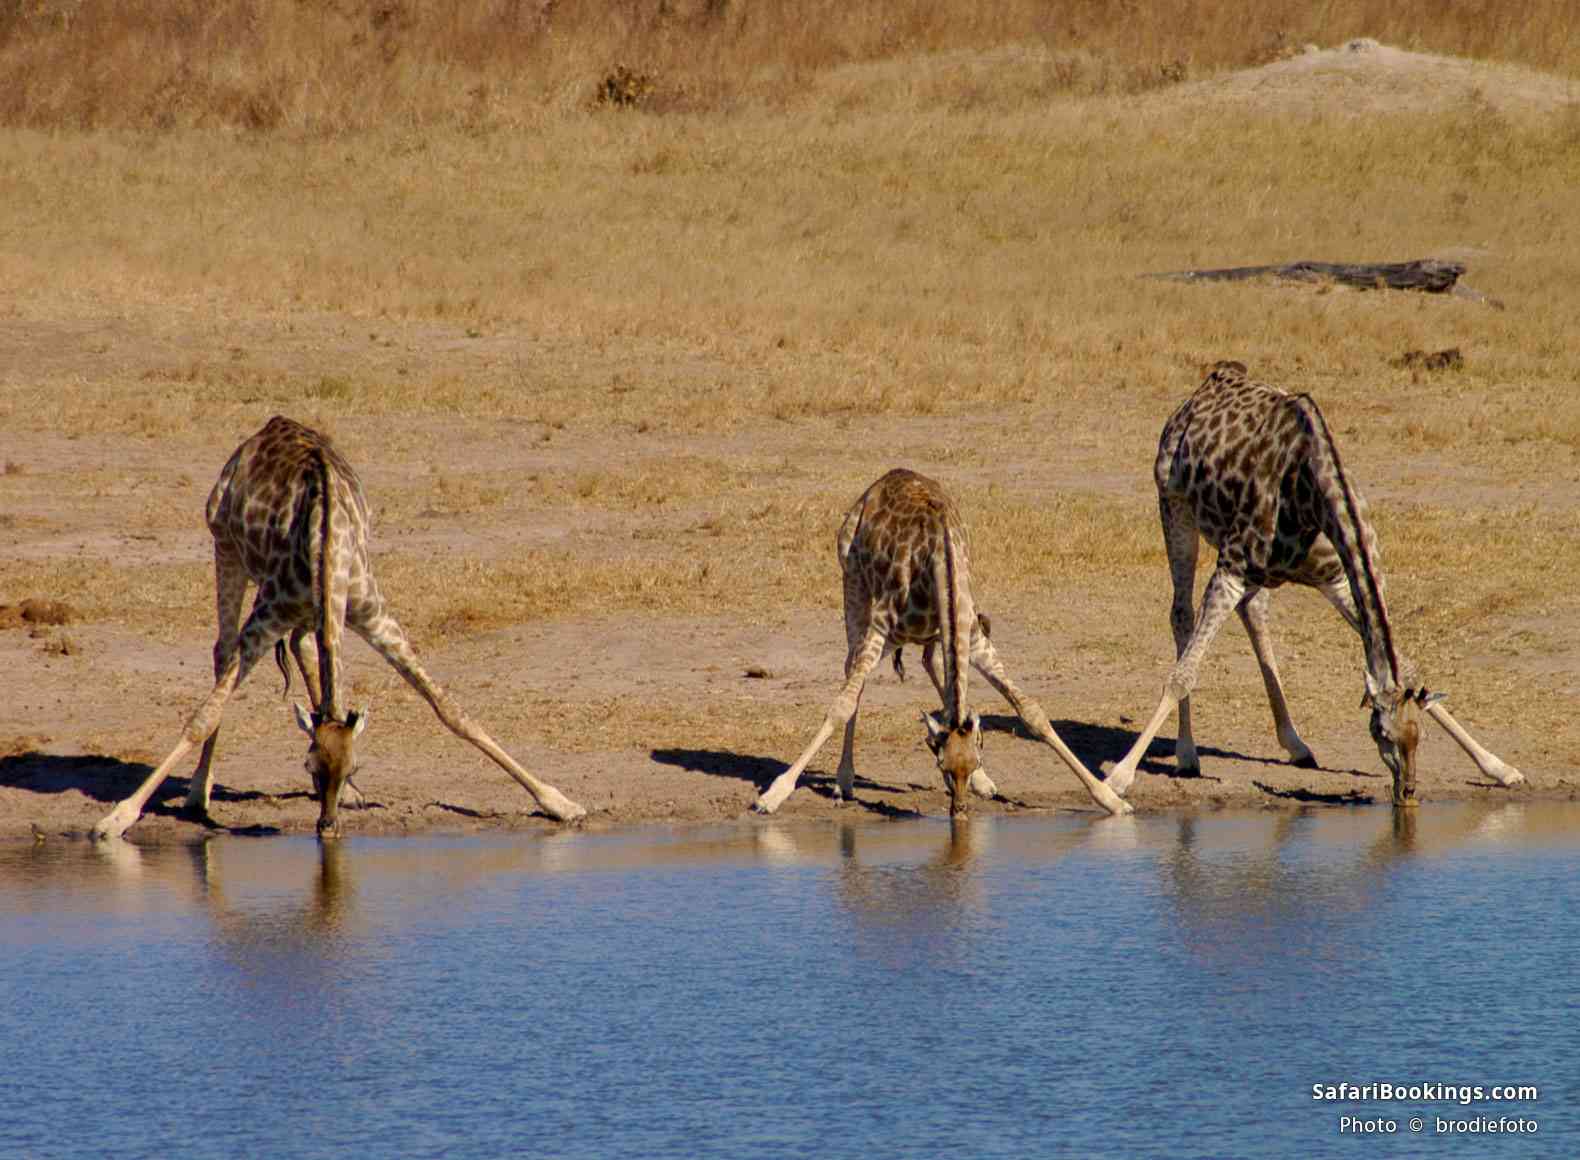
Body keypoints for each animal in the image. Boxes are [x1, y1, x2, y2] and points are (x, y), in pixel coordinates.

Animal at [91, 416, 586, 840]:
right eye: (308, 767)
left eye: (354, 769)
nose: (327, 827)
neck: (325, 539)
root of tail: (268, 426)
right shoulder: (267, 617)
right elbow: (203, 715)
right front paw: (117, 818)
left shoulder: (373, 615)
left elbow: (448, 707)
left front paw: (558, 802)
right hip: (225, 548)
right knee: (222, 650)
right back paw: (198, 791)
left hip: (306, 609)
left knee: (304, 649)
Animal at [753, 469, 1132, 817]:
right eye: (942, 767)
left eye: (975, 761)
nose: (958, 810)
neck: (940, 563)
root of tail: (882, 480)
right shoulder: (881, 630)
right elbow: (842, 704)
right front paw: (773, 795)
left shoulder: (974, 638)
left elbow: (1031, 711)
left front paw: (1110, 798)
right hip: (853, 586)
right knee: (852, 671)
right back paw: (843, 781)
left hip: (932, 636)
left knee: (930, 665)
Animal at [1104, 361, 1524, 805]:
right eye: (1380, 733)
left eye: (1419, 736)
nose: (1406, 791)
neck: (1311, 492)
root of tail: (1214, 379)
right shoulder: (1230, 568)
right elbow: (1183, 675)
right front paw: (1117, 779)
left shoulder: (1336, 579)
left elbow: (1408, 667)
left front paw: (1499, 767)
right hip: (1173, 504)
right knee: (1181, 614)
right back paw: (1187, 755)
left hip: (1257, 571)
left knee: (1254, 612)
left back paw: (1296, 744)